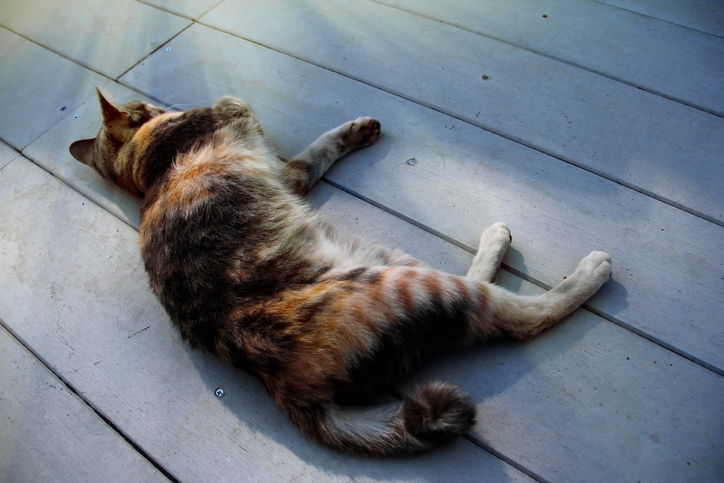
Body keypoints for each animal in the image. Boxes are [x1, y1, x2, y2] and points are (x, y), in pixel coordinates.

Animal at [70, 88, 612, 458]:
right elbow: (312, 147)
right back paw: (580, 268)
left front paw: (357, 130)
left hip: (383, 255)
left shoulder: (286, 173)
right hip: (408, 282)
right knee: (517, 316)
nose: (155, 102)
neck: (148, 169)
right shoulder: (241, 118)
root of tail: (284, 386)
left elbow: (320, 149)